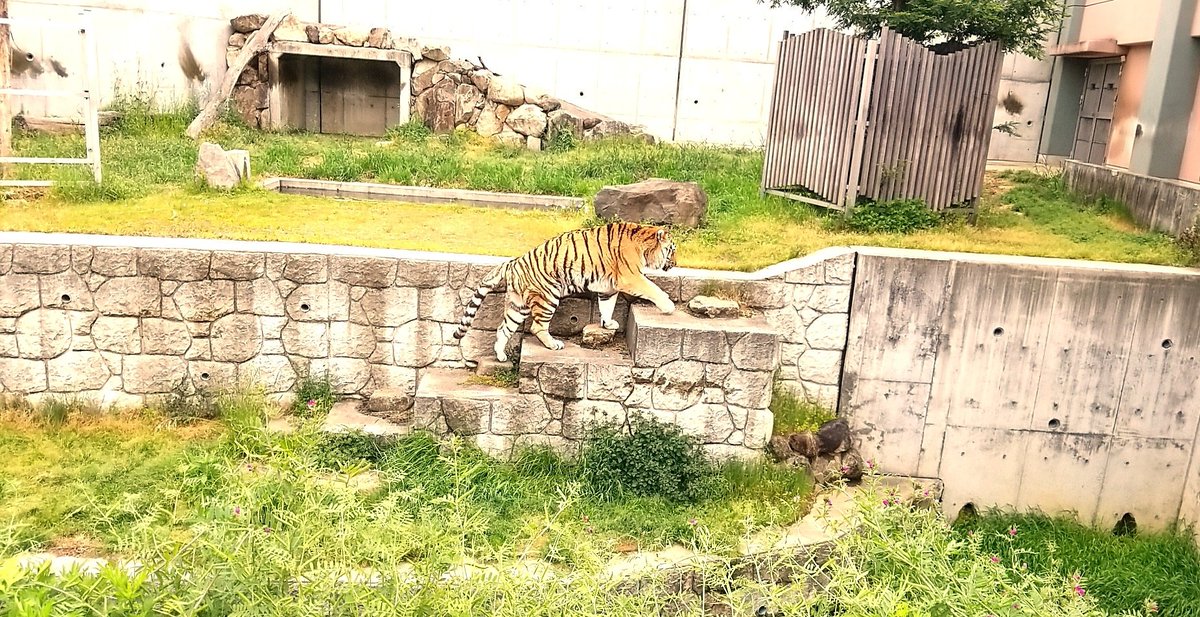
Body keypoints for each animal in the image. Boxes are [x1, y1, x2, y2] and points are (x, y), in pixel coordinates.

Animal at [451, 222, 676, 360]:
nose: (675, 263)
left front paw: (608, 323)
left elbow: (607, 306)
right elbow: (654, 289)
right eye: (672, 250)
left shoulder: (608, 286)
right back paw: (553, 345)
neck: (644, 243)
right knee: (537, 326)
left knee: (503, 328)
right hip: (548, 297)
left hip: (518, 305)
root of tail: (512, 263)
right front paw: (669, 306)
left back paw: (500, 355)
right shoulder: (631, 277)